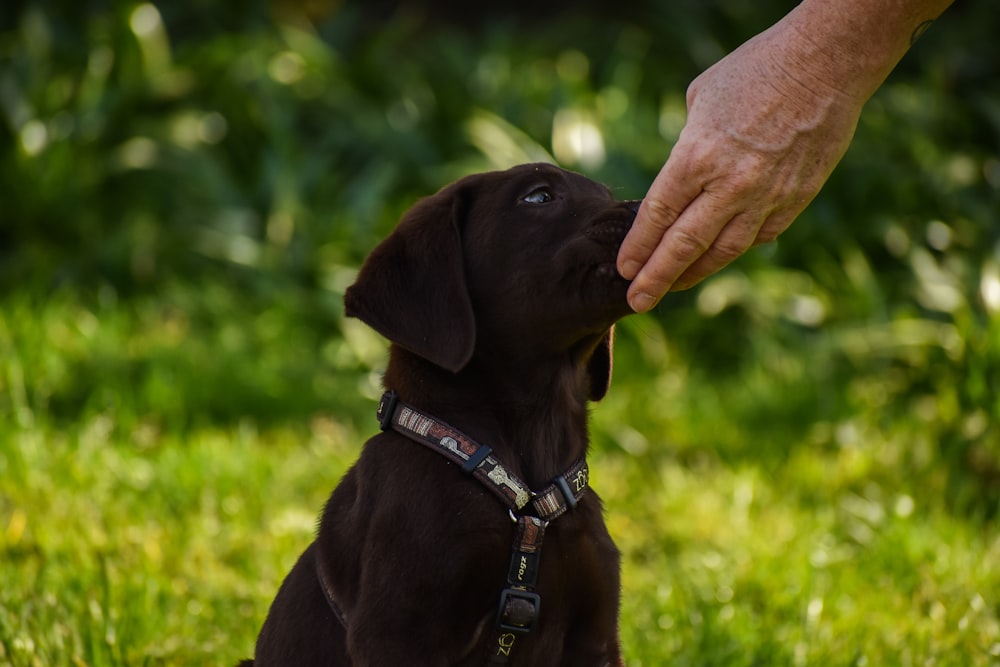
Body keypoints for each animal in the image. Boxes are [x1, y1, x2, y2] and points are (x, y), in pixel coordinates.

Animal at [238, 163, 636, 667]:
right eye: (539, 196)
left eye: (605, 194)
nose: (643, 207)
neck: (528, 495)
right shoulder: (399, 632)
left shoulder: (596, 636)